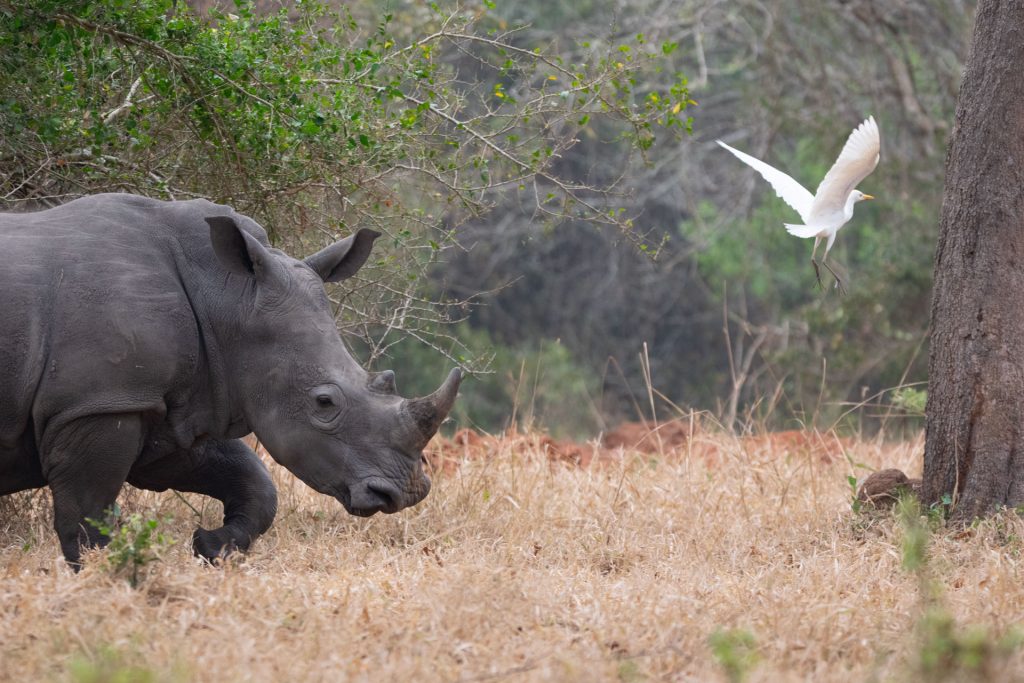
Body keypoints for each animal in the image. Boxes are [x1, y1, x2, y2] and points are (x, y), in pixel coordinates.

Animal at [0, 193, 461, 566]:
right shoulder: (98, 403)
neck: (227, 299)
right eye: (324, 403)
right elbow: (86, 517)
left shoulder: (173, 408)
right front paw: (105, 580)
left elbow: (255, 482)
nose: (404, 493)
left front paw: (209, 546)